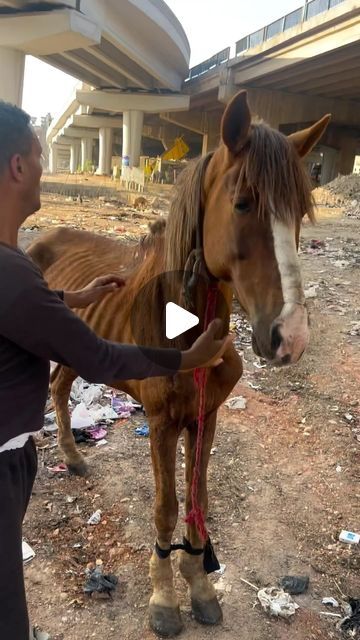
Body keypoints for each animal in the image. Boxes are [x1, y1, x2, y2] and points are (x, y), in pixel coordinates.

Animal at [28, 91, 330, 640]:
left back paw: (75, 458)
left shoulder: (205, 417)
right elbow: (167, 509)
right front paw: (165, 598)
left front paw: (201, 585)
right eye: (243, 202)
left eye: (300, 210)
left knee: (60, 388)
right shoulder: (163, 423)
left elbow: (198, 502)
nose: (290, 338)